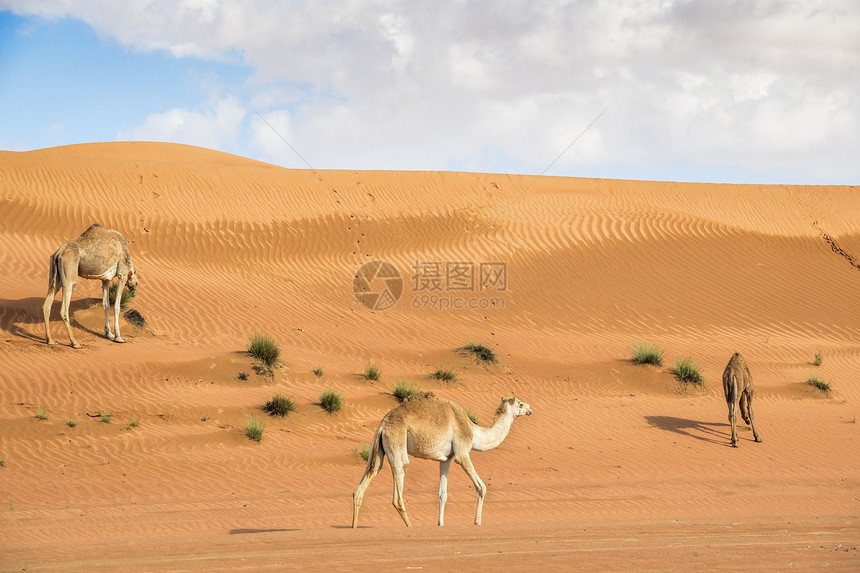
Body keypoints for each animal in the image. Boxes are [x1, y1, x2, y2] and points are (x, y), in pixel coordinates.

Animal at [352, 394, 532, 528]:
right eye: (520, 404)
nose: (530, 409)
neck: (474, 432)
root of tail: (382, 425)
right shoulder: (461, 453)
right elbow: (481, 487)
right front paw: (477, 522)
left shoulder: (446, 459)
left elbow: (442, 494)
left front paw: (440, 524)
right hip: (397, 441)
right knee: (399, 483)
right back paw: (410, 525)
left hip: (379, 448)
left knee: (365, 481)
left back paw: (354, 526)